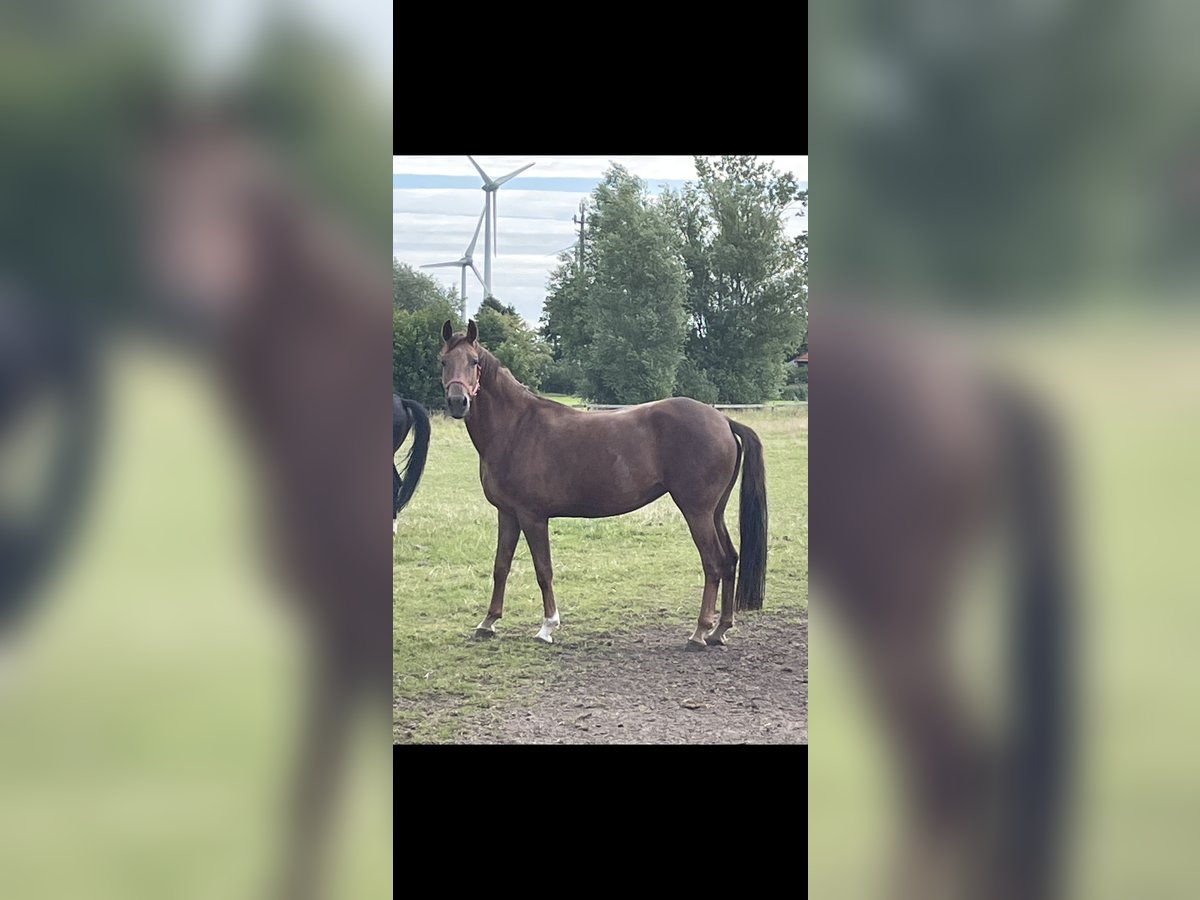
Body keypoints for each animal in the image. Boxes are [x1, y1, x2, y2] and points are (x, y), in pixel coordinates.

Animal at [441, 321, 768, 652]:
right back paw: (719, 630)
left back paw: (699, 632)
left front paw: (547, 627)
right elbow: (501, 566)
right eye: (443, 361)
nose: (458, 402)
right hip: (715, 512)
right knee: (729, 560)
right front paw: (488, 622)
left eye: (474, 362)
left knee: (713, 563)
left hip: (697, 512)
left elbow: (543, 570)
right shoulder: (507, 514)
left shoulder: (533, 517)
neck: (517, 428)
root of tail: (723, 420)